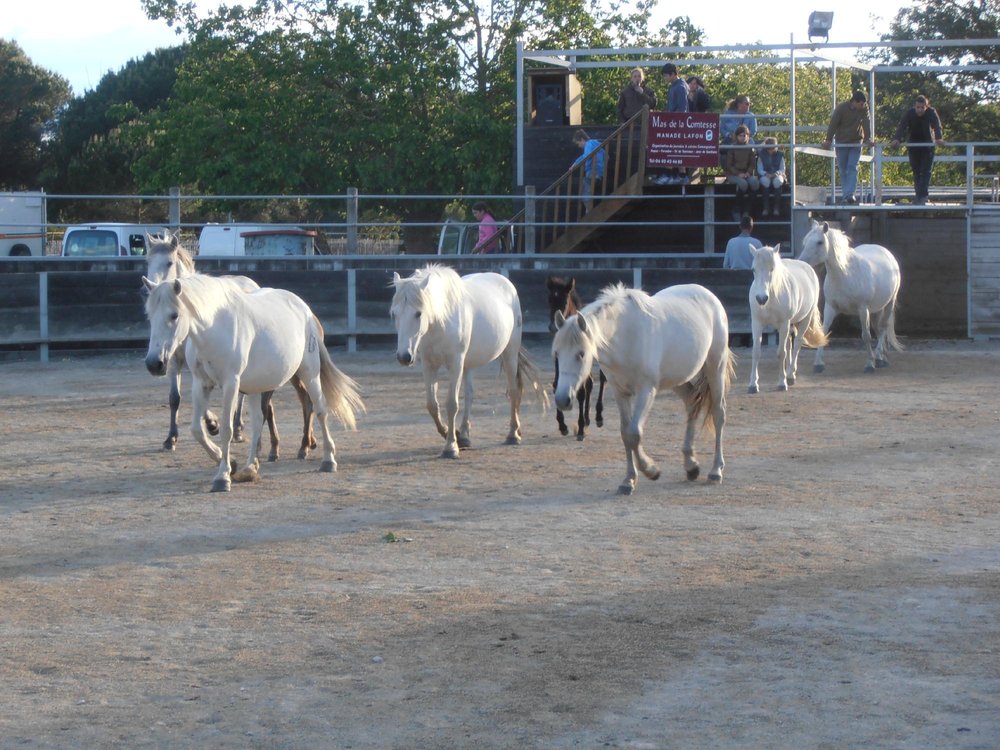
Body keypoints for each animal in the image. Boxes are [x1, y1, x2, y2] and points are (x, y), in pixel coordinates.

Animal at [143, 274, 366, 494]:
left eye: (174, 315)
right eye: (150, 316)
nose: (154, 364)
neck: (215, 328)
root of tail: (305, 310)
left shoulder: (231, 383)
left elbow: (226, 429)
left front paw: (223, 477)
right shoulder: (201, 384)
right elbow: (197, 429)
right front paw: (230, 462)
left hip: (309, 373)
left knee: (319, 410)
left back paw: (328, 459)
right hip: (257, 386)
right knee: (260, 420)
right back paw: (250, 467)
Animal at [390, 268, 548, 462]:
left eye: (418, 313)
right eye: (394, 313)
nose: (404, 357)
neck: (442, 321)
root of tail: (506, 282)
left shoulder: (455, 363)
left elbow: (451, 404)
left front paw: (451, 447)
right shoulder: (429, 365)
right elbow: (432, 405)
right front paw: (453, 435)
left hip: (509, 353)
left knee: (513, 391)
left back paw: (513, 435)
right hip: (468, 364)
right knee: (470, 394)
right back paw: (465, 435)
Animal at [552, 284, 732, 496]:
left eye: (581, 354)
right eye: (557, 353)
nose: (562, 399)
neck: (626, 335)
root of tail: (709, 295)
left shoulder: (646, 391)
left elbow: (634, 433)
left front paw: (651, 470)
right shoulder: (620, 392)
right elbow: (625, 434)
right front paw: (628, 480)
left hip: (716, 366)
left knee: (719, 413)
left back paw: (716, 470)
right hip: (677, 379)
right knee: (691, 402)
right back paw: (691, 466)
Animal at [748, 245, 832, 394]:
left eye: (772, 268)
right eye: (753, 269)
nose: (761, 298)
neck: (771, 298)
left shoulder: (784, 324)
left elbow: (781, 353)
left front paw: (782, 383)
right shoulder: (757, 323)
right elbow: (756, 352)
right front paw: (753, 384)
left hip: (804, 320)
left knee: (797, 343)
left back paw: (790, 375)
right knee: (789, 344)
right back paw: (788, 373)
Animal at [800, 220, 904, 374]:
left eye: (819, 242)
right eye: (805, 241)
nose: (802, 262)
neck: (844, 275)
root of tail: (886, 252)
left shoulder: (863, 309)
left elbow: (866, 335)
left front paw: (869, 364)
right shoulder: (830, 307)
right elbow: (824, 332)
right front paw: (818, 364)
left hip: (889, 304)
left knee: (884, 327)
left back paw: (878, 358)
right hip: (876, 309)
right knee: (879, 329)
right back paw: (882, 358)